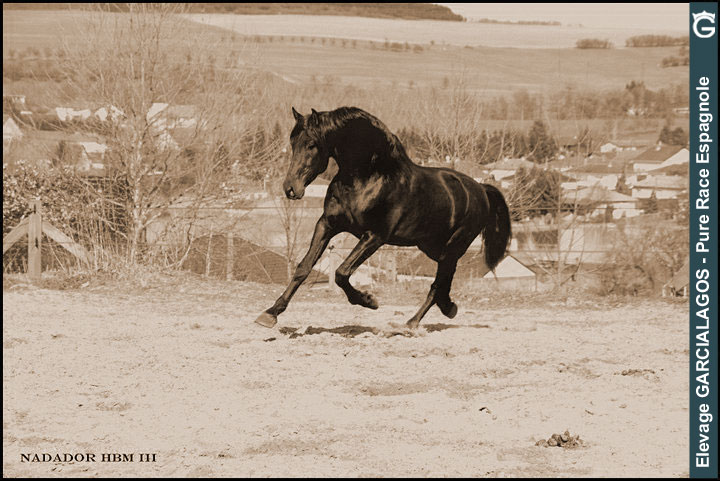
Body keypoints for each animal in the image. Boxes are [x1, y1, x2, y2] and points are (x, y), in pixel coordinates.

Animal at [253, 106, 512, 328]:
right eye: (292, 142)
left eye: (311, 144)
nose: (290, 189)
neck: (367, 177)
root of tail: (480, 190)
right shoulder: (327, 224)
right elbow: (303, 268)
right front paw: (270, 314)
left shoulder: (375, 236)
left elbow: (342, 272)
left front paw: (369, 301)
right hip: (431, 246)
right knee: (444, 279)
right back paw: (445, 309)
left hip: (454, 245)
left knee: (438, 282)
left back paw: (413, 323)